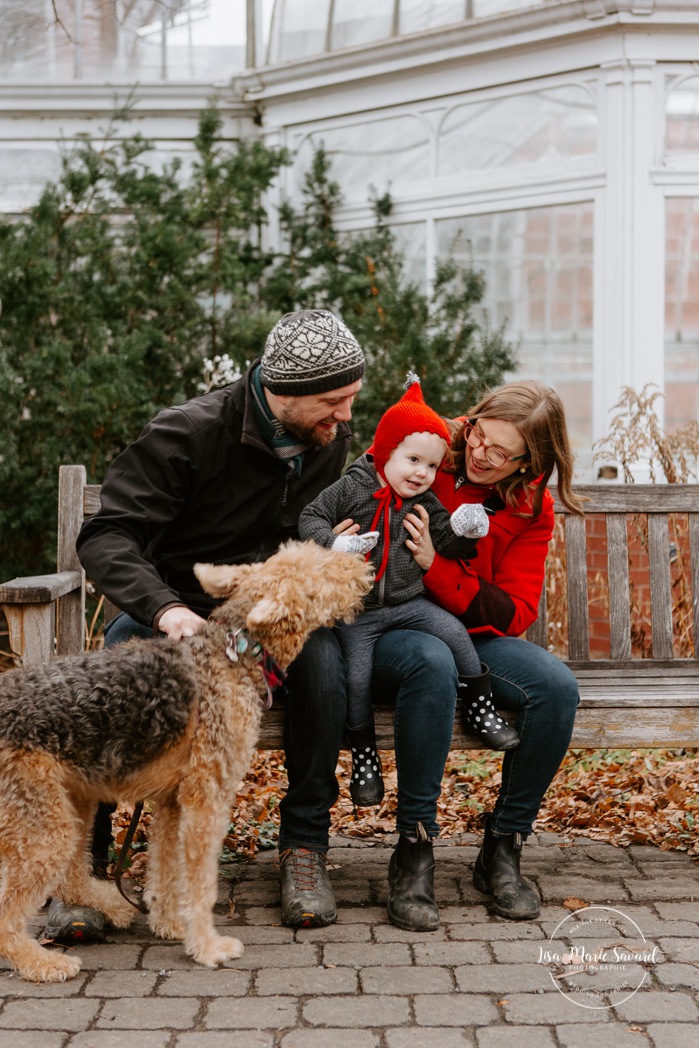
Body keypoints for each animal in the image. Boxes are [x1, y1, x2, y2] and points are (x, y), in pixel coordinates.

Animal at [0, 540, 370, 980]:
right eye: (321, 569)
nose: (362, 566)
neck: (233, 654)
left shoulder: (172, 802)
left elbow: (167, 869)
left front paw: (171, 925)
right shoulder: (206, 801)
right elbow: (200, 883)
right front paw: (208, 946)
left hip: (72, 805)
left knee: (72, 876)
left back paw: (113, 905)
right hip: (44, 825)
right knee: (10, 910)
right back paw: (41, 962)